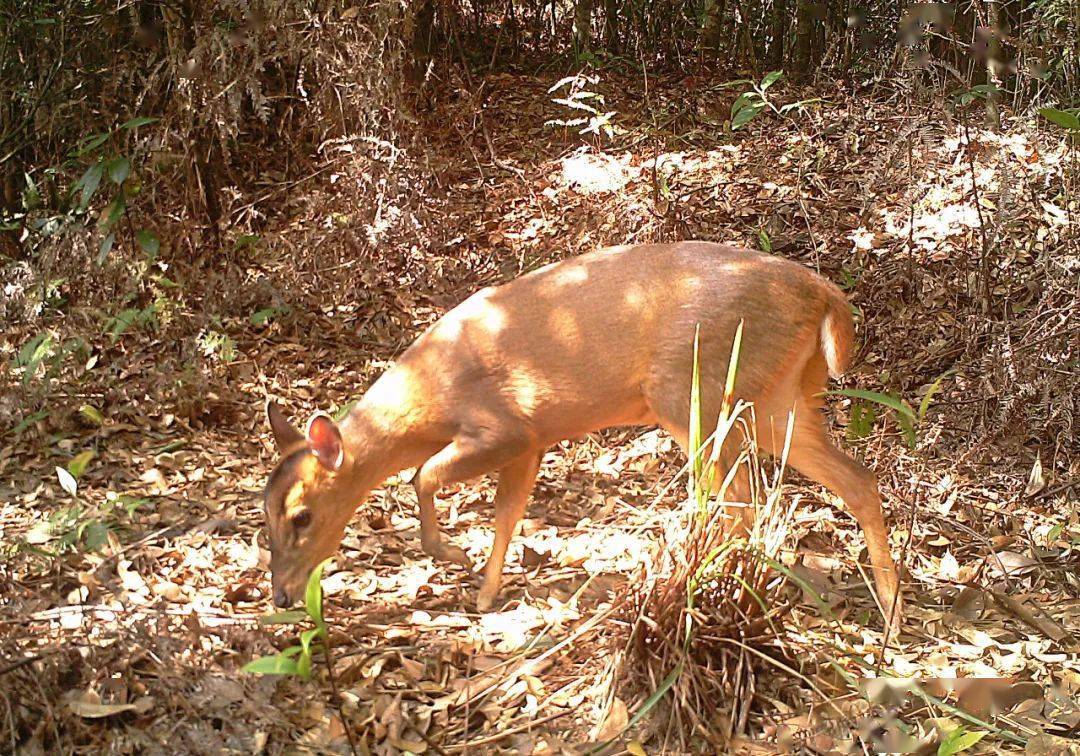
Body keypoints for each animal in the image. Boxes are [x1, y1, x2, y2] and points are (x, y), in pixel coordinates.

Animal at [261, 241, 902, 626]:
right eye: (262, 512)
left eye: (302, 516)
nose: (282, 596)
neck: (429, 400)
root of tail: (825, 294)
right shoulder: (535, 439)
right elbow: (508, 512)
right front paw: (487, 591)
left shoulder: (507, 426)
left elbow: (426, 474)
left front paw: (450, 553)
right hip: (779, 397)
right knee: (855, 479)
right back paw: (891, 611)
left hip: (694, 389)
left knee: (741, 500)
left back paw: (709, 587)